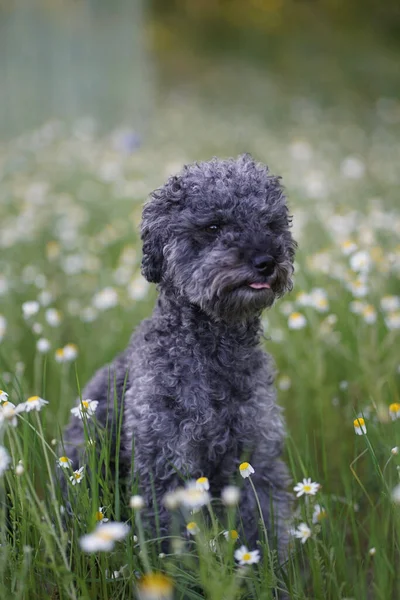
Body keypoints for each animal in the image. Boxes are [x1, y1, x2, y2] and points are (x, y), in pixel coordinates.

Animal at [61, 154, 296, 556]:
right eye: (213, 225)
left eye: (270, 223)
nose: (266, 260)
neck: (215, 355)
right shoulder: (166, 464)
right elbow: (173, 539)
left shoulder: (254, 458)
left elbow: (265, 525)